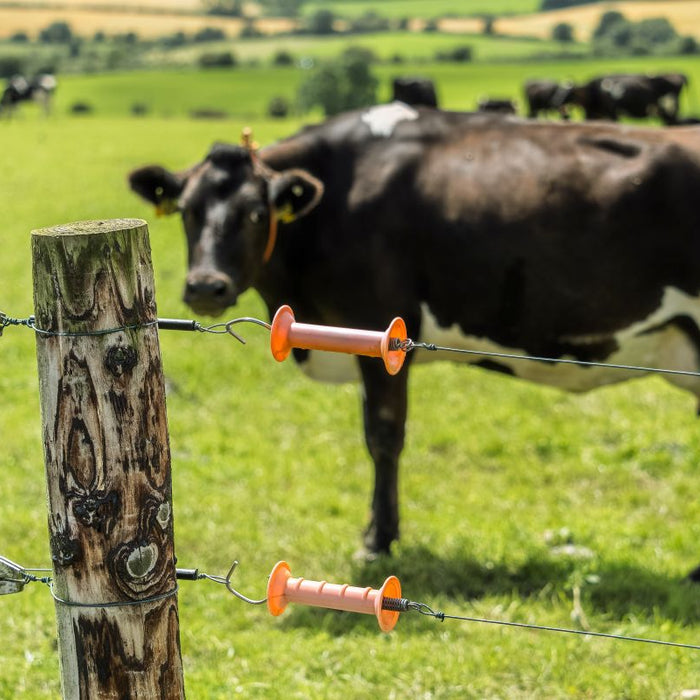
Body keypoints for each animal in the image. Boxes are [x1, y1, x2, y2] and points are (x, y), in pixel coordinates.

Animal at [129, 103, 700, 575]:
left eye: (255, 213)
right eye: (187, 210)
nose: (206, 286)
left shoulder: (378, 327)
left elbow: (383, 435)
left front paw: (378, 540)